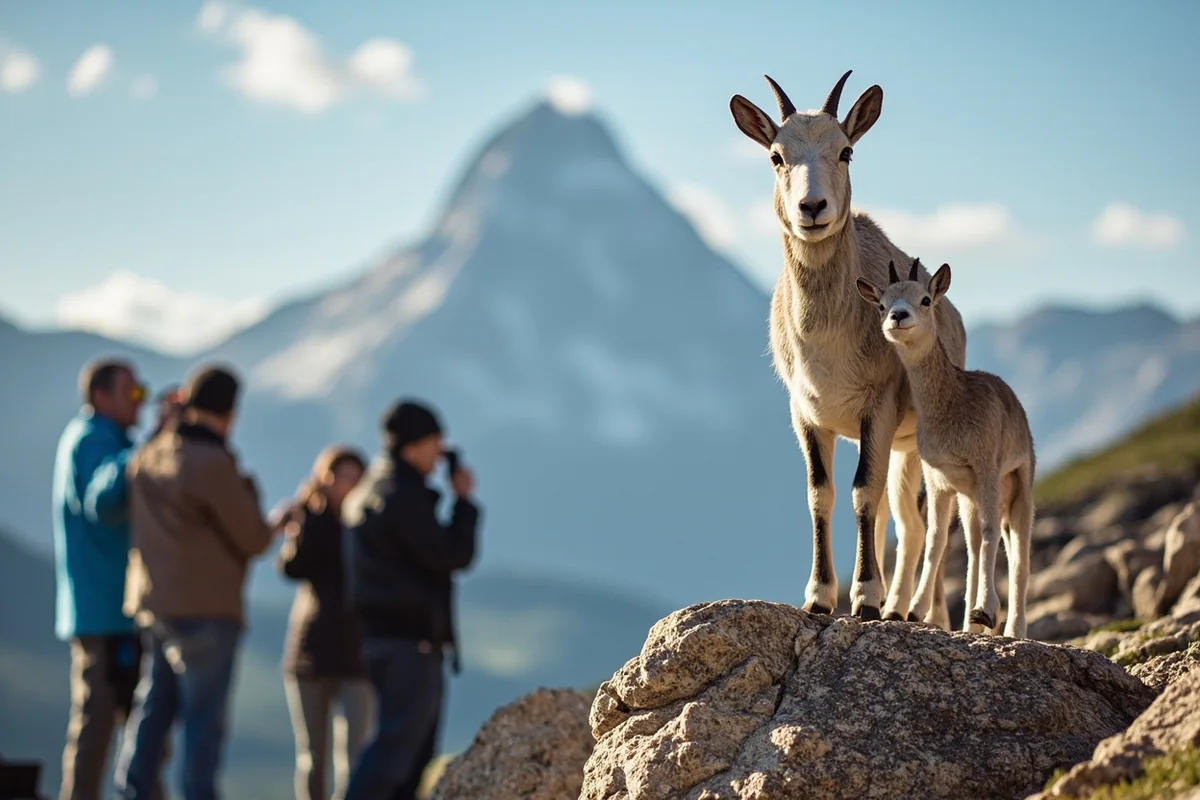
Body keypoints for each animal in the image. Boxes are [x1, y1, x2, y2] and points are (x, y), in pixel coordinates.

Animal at [730, 71, 967, 621]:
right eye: (775, 155)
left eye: (846, 151)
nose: (812, 208)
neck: (829, 345)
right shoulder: (807, 413)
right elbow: (822, 494)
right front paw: (819, 596)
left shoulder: (877, 407)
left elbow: (862, 493)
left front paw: (863, 597)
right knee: (901, 520)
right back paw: (901, 606)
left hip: (918, 444)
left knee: (926, 521)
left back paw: (912, 610)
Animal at [856, 260, 1035, 637]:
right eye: (881, 303)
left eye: (925, 299)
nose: (898, 316)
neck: (955, 404)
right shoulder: (940, 482)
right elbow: (936, 541)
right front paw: (914, 609)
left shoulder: (987, 469)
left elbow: (990, 534)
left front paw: (987, 610)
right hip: (968, 500)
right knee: (972, 548)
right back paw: (970, 623)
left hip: (1019, 488)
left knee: (1018, 556)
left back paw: (1011, 627)